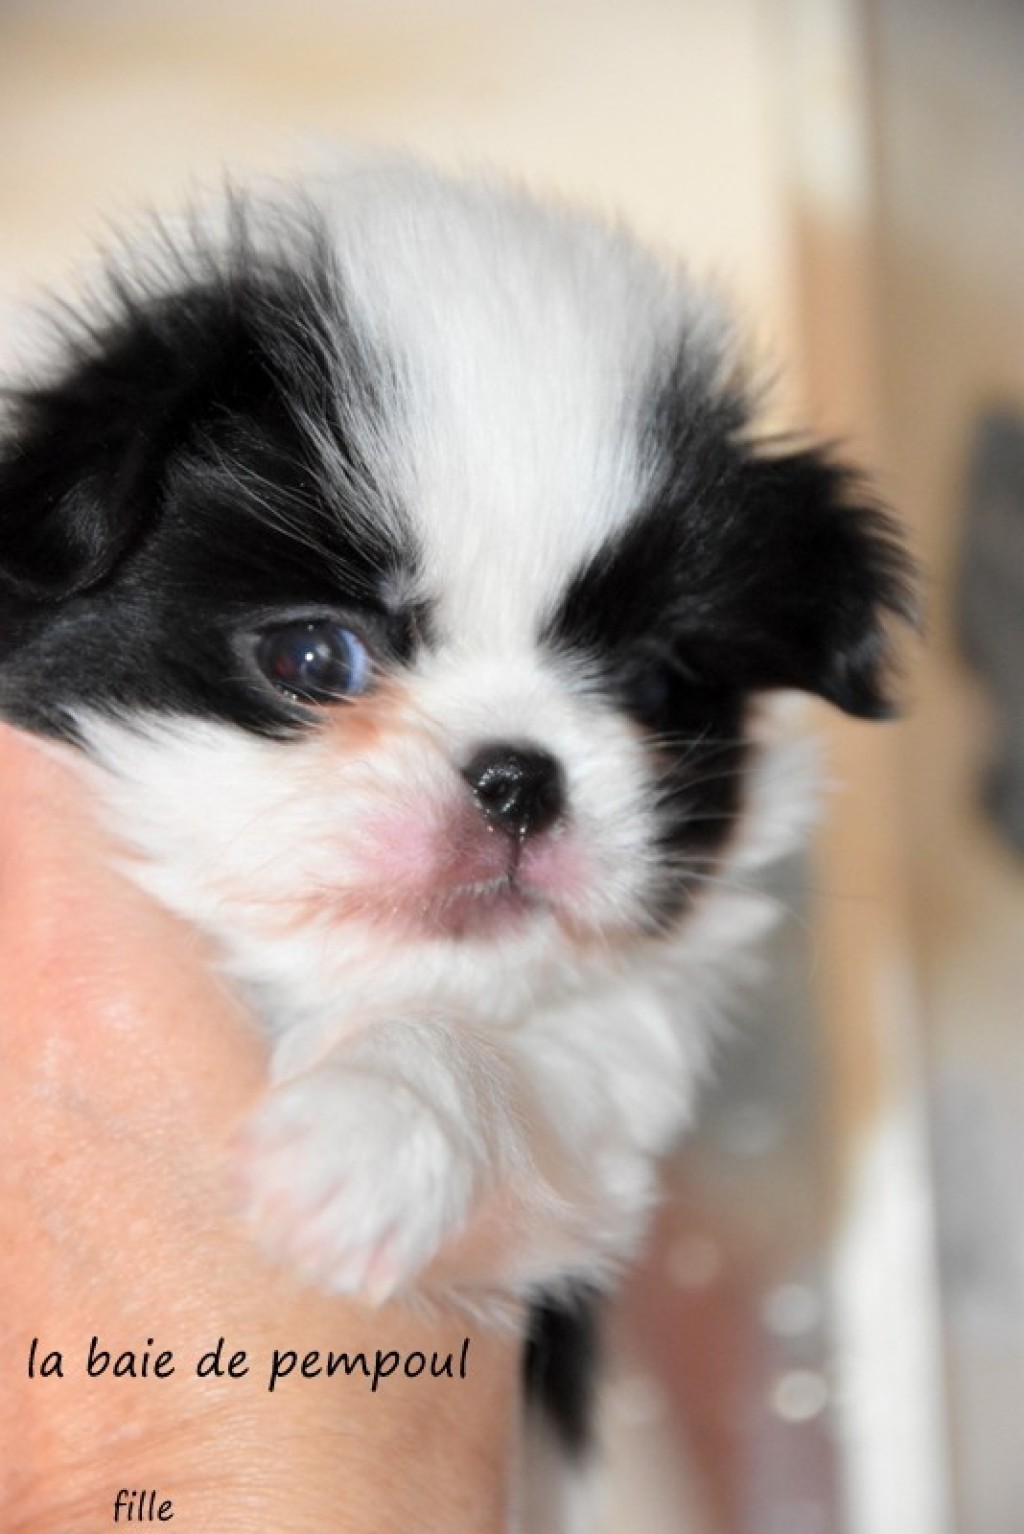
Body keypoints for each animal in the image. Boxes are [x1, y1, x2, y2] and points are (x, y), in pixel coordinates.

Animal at [0, 157, 911, 1527]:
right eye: (313, 657)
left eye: (653, 688)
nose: (519, 778)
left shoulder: (586, 1108)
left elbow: (462, 1053)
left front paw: (358, 1140)